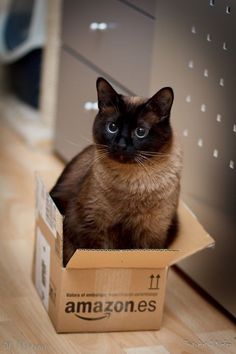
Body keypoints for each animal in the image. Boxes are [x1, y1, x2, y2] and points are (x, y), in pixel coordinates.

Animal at [49, 78, 183, 266]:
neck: (133, 185)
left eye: (140, 132)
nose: (121, 145)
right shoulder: (92, 227)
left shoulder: (151, 235)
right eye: (112, 127)